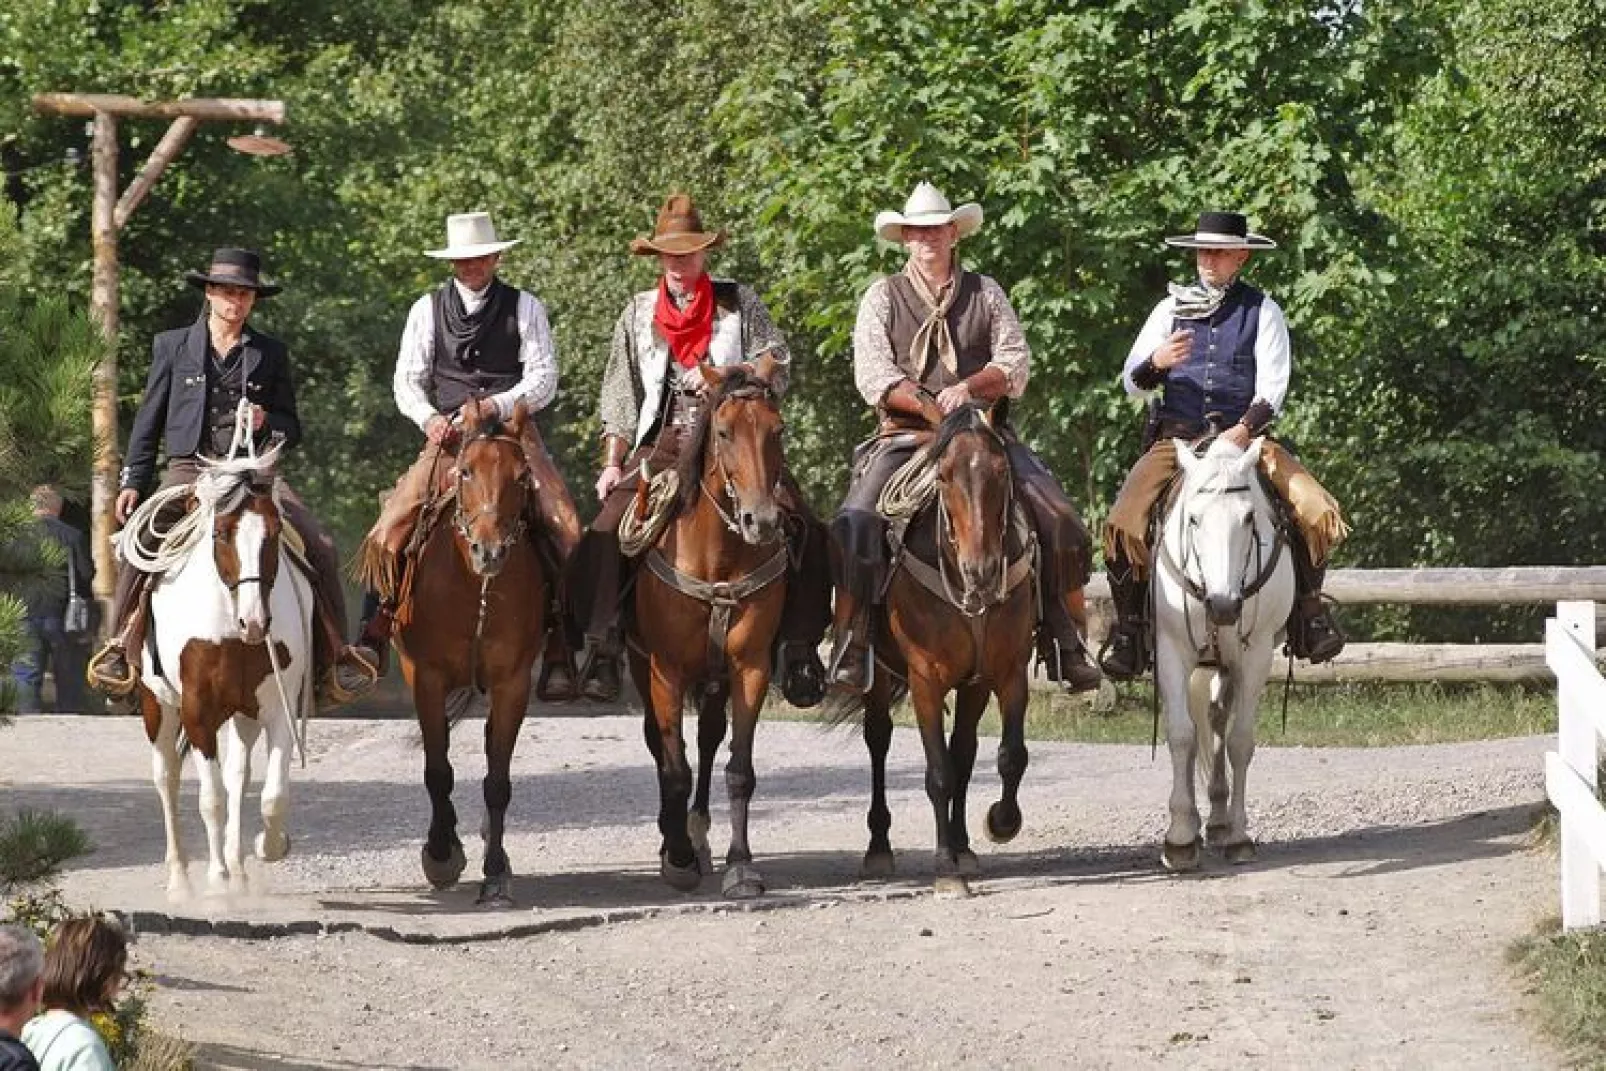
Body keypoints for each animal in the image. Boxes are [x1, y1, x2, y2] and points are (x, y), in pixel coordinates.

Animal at [123, 443, 314, 899]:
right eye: (222, 533)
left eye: (274, 533)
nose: (255, 623)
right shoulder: (197, 712)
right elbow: (210, 799)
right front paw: (216, 881)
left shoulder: (276, 708)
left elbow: (272, 795)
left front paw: (267, 847)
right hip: (158, 705)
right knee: (168, 778)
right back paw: (180, 879)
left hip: (243, 714)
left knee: (237, 777)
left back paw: (238, 869)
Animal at [383, 399, 546, 905]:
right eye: (466, 471)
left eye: (522, 475)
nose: (488, 551)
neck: (476, 587)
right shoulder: (426, 676)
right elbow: (438, 770)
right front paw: (440, 854)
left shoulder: (512, 683)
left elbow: (497, 781)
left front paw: (494, 873)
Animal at [632, 358, 796, 899]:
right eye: (723, 432)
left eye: (777, 430)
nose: (760, 521)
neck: (716, 560)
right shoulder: (664, 671)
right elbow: (674, 767)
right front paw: (678, 857)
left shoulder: (749, 669)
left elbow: (738, 768)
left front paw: (741, 866)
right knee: (662, 745)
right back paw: (676, 837)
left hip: (714, 676)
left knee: (706, 738)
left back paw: (698, 832)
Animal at [835, 401, 1034, 899]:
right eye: (942, 477)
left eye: (1001, 471)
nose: (980, 569)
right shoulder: (926, 679)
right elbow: (938, 772)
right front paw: (946, 869)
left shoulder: (1006, 673)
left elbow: (1007, 756)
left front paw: (1000, 823)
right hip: (879, 679)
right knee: (879, 740)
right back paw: (879, 847)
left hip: (973, 686)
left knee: (963, 750)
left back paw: (964, 846)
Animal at [1149, 436, 1297, 873]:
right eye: (1193, 519)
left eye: (1248, 517)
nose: (1224, 606)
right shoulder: (1171, 650)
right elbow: (1181, 735)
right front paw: (1179, 838)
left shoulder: (1255, 655)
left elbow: (1240, 741)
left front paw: (1239, 835)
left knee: (1217, 719)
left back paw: (1217, 821)